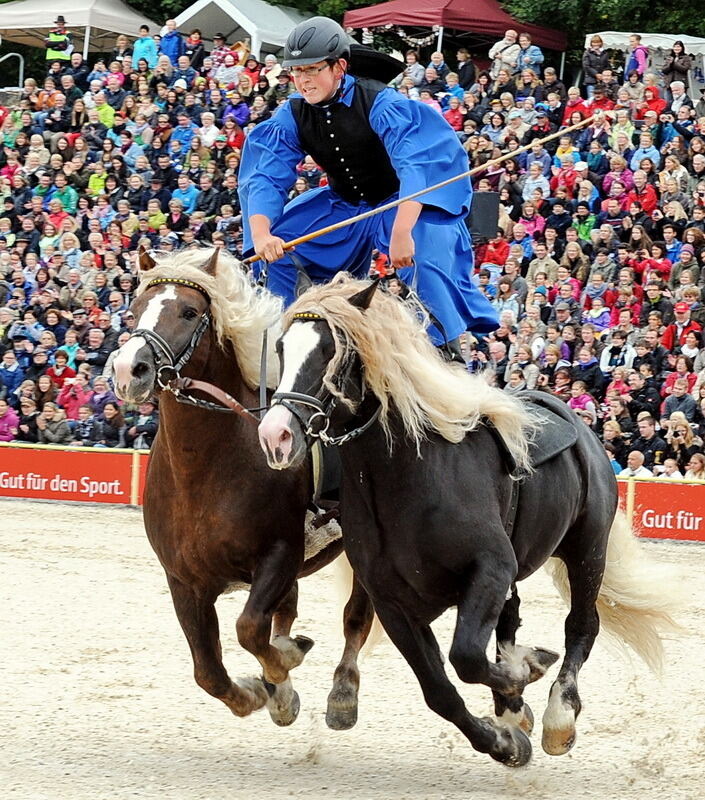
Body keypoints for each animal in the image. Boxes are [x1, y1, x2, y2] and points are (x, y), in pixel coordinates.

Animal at [111, 247, 374, 728]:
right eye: (135, 309)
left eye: (189, 311)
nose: (128, 369)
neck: (205, 470)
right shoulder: (184, 582)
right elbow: (209, 672)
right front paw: (264, 693)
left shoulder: (278, 557)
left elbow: (250, 629)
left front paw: (282, 668)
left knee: (356, 616)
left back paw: (342, 694)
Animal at [258, 276, 672, 768]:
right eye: (280, 348)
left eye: (331, 351)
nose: (276, 435)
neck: (408, 480)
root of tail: (580, 424)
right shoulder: (394, 603)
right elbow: (440, 689)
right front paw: (504, 740)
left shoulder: (490, 569)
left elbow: (467, 659)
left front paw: (523, 677)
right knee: (511, 620)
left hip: (587, 550)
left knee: (581, 626)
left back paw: (558, 716)